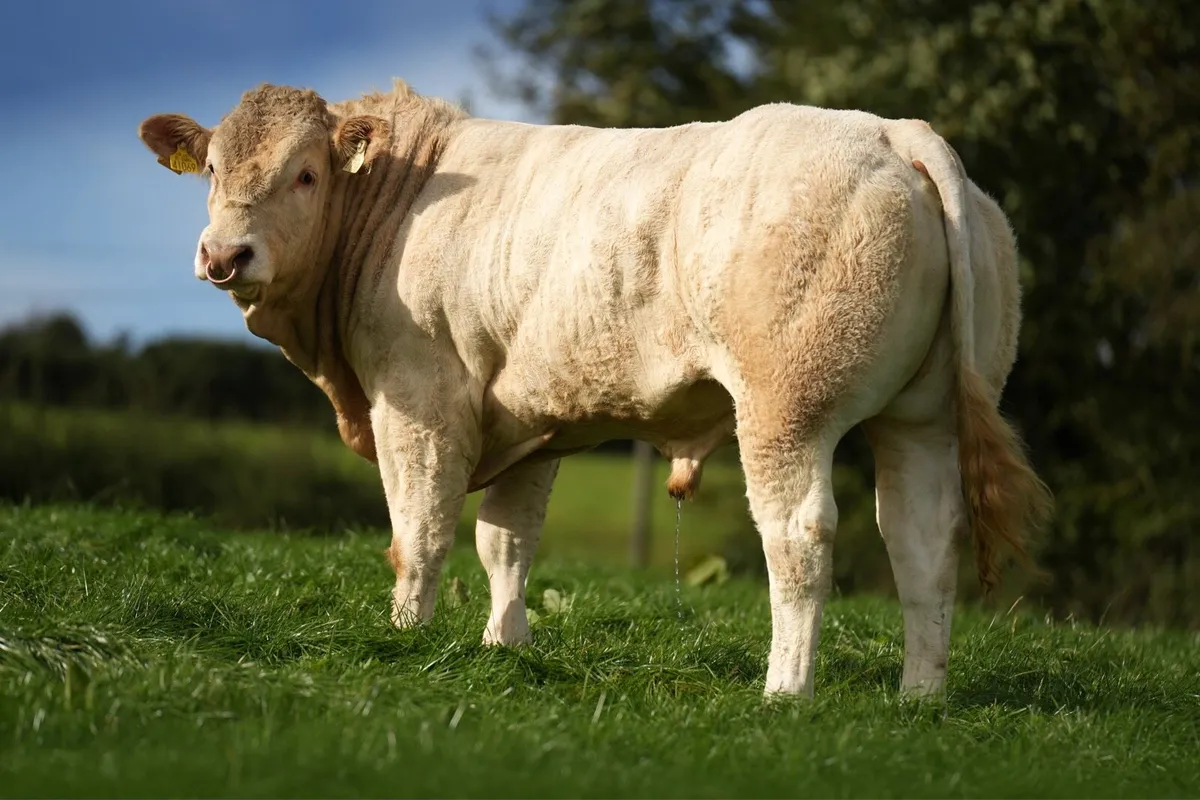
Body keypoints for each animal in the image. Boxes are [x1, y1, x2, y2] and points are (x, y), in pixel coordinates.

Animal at [137, 79, 1051, 698]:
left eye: (305, 173)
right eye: (210, 166)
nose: (224, 255)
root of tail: (892, 130)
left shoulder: (418, 399)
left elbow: (419, 533)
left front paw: (406, 638)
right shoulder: (527, 415)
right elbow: (506, 541)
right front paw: (501, 647)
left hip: (789, 407)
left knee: (799, 535)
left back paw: (785, 691)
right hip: (923, 418)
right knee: (923, 541)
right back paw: (919, 696)